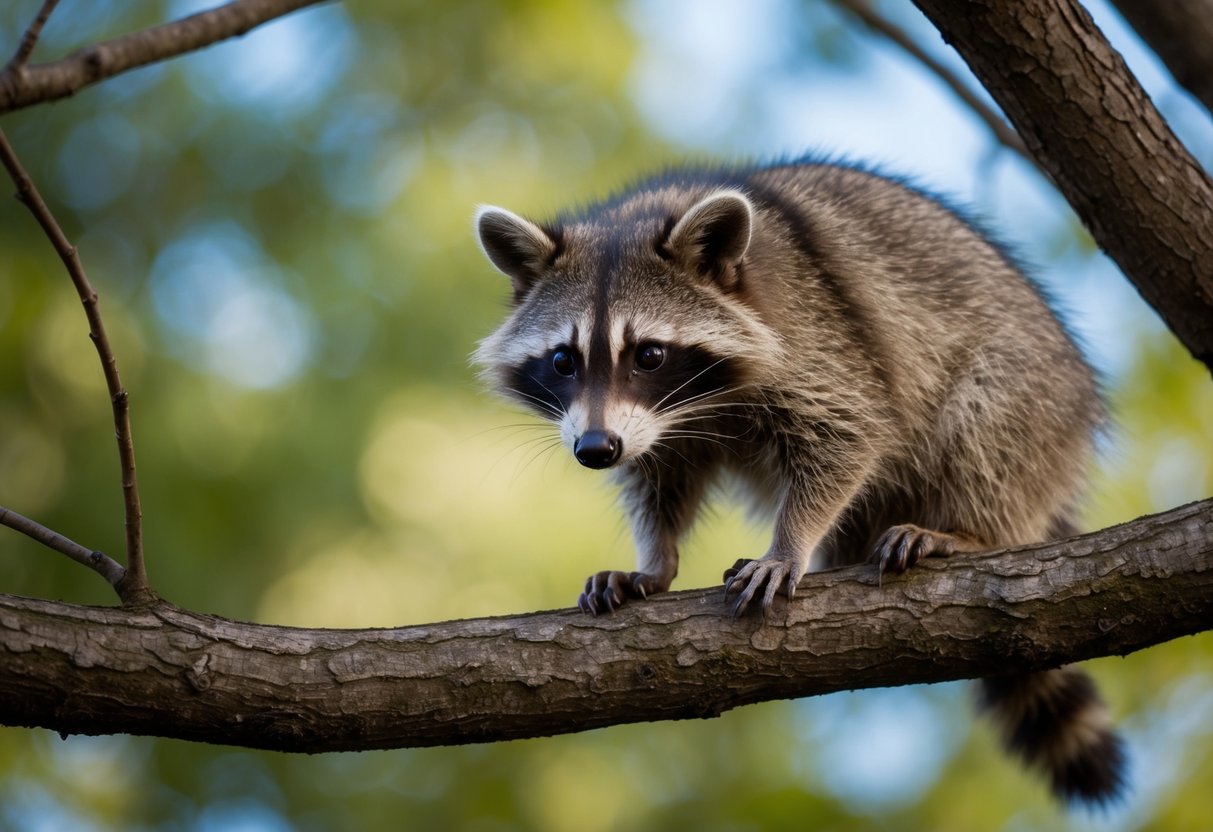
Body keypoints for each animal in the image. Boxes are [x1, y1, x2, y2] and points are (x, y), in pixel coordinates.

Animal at [472, 159, 1124, 805]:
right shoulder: (652, 427)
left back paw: (970, 530)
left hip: (1036, 401)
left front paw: (788, 544)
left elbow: (849, 432)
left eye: (650, 355)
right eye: (564, 360)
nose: (594, 451)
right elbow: (660, 477)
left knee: (986, 422)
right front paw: (655, 560)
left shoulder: (819, 338)